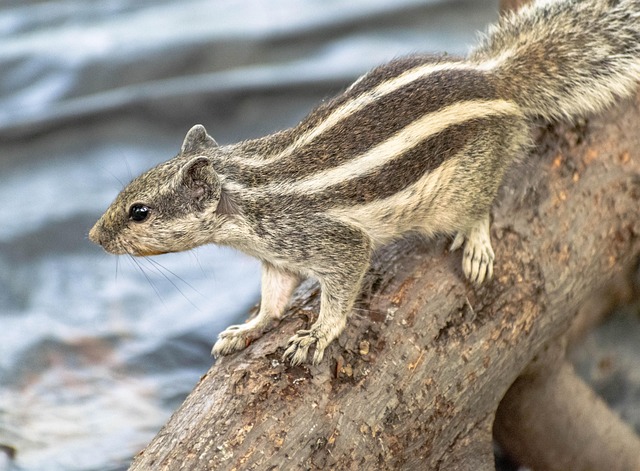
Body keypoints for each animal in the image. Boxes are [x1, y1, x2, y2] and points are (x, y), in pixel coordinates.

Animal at [89, 0, 640, 366]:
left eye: (139, 211)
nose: (94, 236)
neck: (247, 191)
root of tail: (496, 79)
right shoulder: (278, 259)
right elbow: (273, 298)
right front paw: (250, 328)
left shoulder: (330, 241)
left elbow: (343, 283)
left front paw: (316, 336)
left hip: (468, 179)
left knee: (481, 204)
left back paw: (477, 242)